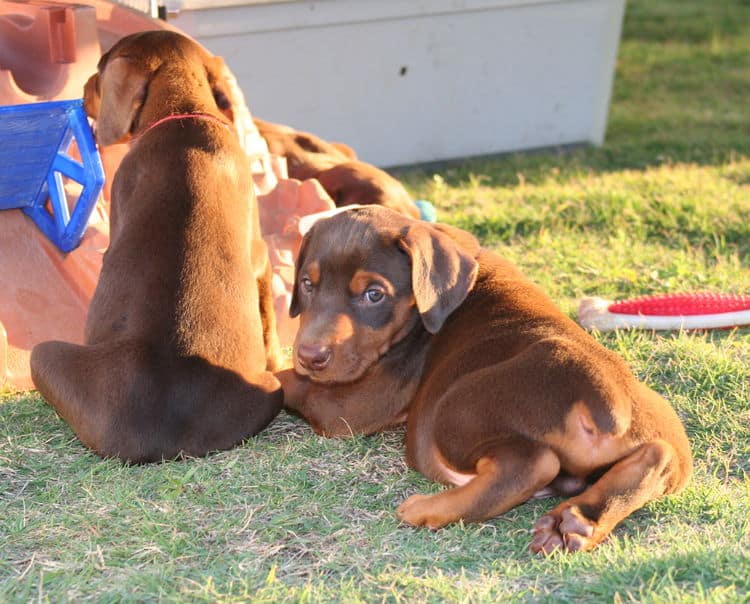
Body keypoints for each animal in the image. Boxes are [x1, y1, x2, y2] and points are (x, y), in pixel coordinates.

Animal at [30, 31, 284, 462]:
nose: (83, 89)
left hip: (43, 353)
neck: (184, 114)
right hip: (269, 392)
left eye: (98, 70)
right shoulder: (259, 255)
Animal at [280, 206, 696, 552]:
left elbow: (288, 383)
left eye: (374, 294)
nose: (310, 356)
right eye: (307, 284)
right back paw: (576, 522)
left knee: (531, 464)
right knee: (656, 456)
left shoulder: (357, 403)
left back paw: (426, 508)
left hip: (456, 408)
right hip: (665, 434)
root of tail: (604, 394)